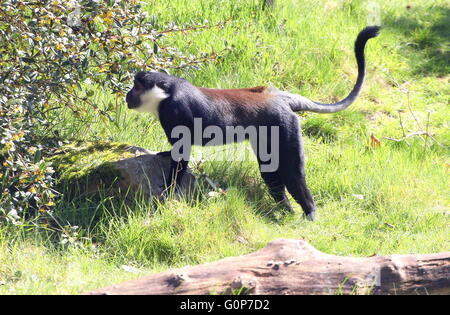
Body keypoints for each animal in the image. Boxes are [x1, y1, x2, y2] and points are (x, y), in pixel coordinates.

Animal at [125, 25, 380, 221]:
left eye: (137, 86)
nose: (128, 94)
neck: (166, 93)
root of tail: (277, 97)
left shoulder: (173, 111)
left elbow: (182, 153)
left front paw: (168, 191)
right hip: (268, 136)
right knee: (271, 172)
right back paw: (285, 208)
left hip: (285, 127)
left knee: (293, 174)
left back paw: (309, 211)